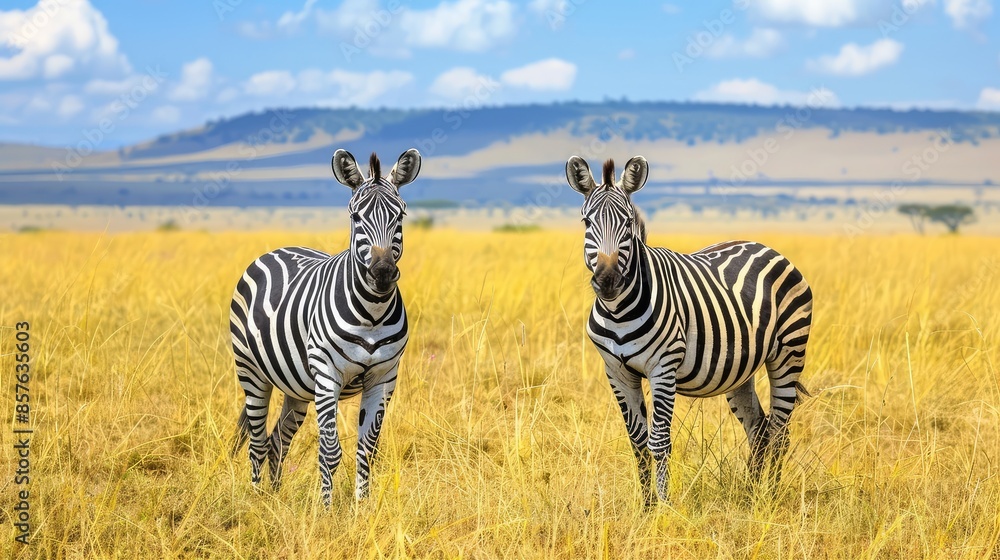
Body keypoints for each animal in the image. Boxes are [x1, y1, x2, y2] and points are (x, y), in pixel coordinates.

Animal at [230, 148, 421, 505]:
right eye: (356, 218)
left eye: (400, 216)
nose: (383, 273)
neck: (372, 313)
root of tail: (280, 248)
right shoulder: (326, 373)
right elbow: (330, 452)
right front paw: (327, 510)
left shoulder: (384, 378)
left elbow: (367, 450)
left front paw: (362, 508)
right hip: (252, 372)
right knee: (257, 443)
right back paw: (257, 500)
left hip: (297, 388)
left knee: (277, 441)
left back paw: (275, 498)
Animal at [565, 155, 813, 505]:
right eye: (587, 223)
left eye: (627, 223)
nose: (608, 281)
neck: (619, 311)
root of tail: (763, 246)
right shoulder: (616, 371)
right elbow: (637, 441)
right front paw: (646, 507)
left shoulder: (663, 368)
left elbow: (658, 441)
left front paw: (665, 507)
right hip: (740, 370)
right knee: (759, 429)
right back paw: (750, 494)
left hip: (789, 352)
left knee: (779, 431)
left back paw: (770, 497)